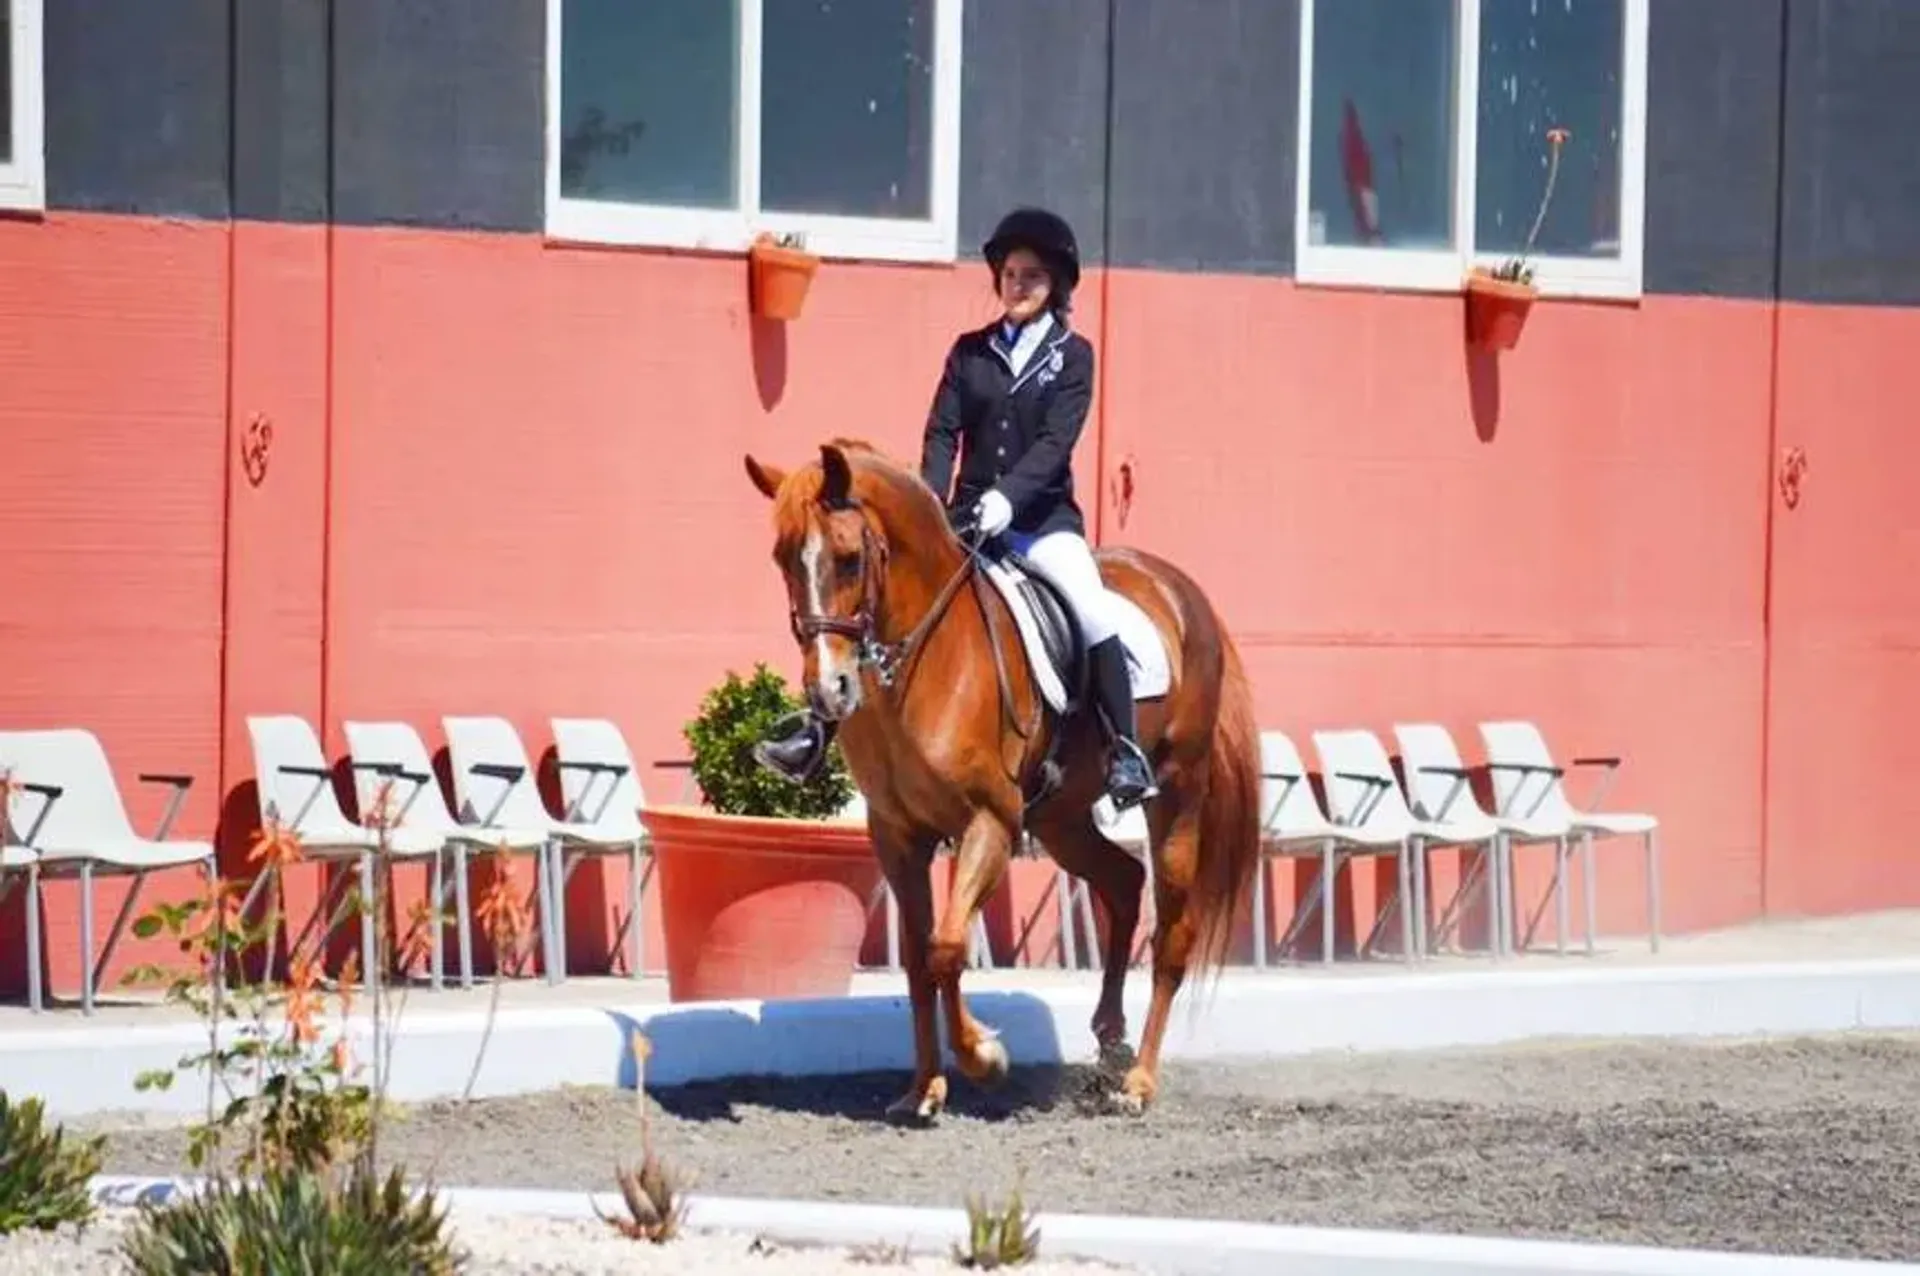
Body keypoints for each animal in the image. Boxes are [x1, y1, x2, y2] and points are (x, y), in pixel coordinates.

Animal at [741, 443, 1267, 1120]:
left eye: (849, 558)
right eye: (783, 558)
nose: (828, 692)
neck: (924, 662)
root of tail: (1179, 589)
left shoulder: (988, 822)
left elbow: (945, 948)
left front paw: (984, 1058)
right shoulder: (897, 834)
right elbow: (918, 960)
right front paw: (922, 1090)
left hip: (1175, 799)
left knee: (1173, 934)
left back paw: (1137, 1083)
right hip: (1062, 819)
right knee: (1124, 883)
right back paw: (1109, 1040)